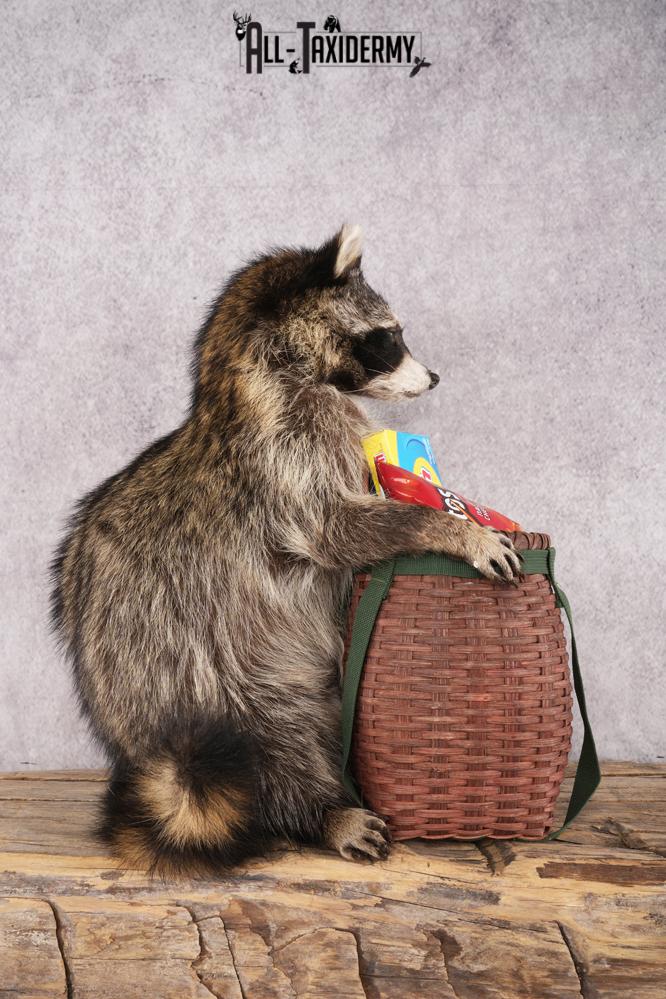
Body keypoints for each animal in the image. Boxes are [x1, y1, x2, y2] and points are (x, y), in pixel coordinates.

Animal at [51, 224, 521, 876]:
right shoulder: (280, 463)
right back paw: (321, 810)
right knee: (277, 744)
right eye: (388, 336)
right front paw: (449, 527)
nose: (433, 379)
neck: (260, 374)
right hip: (206, 682)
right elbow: (337, 529)